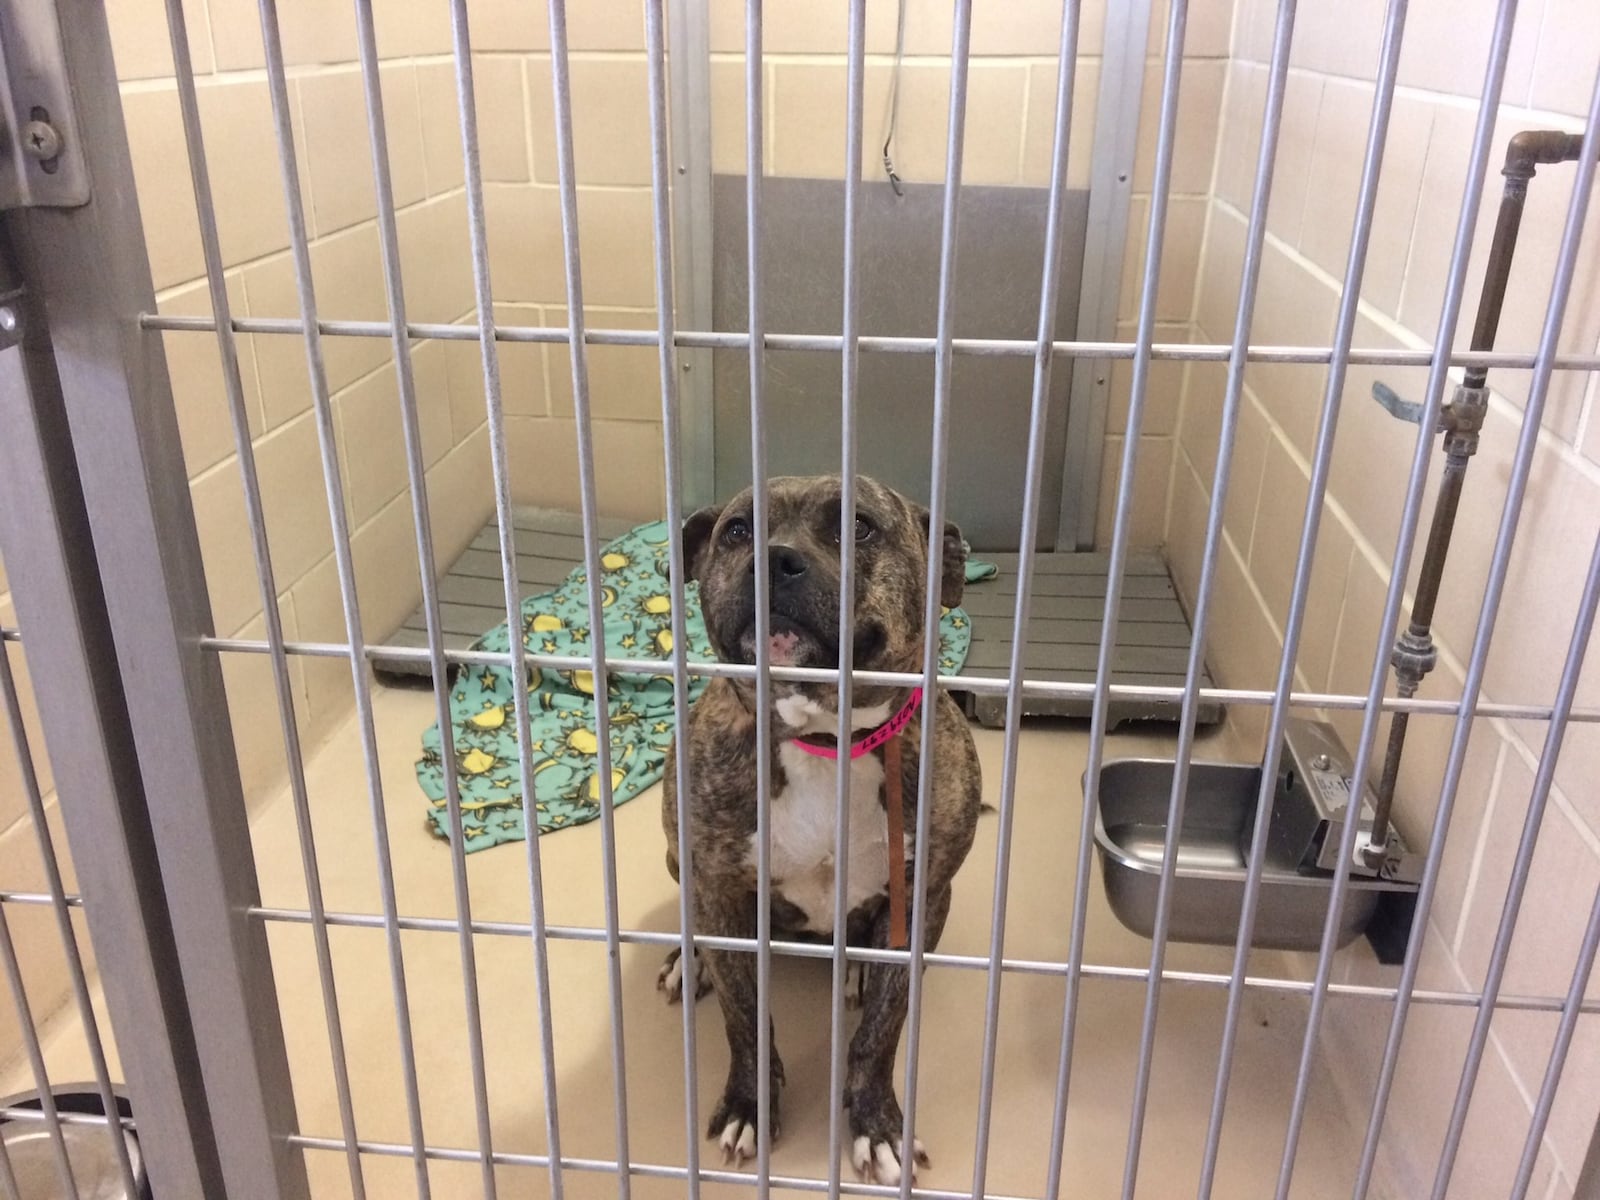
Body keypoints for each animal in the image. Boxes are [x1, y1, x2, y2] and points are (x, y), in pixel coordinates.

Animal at [656, 473, 979, 1190]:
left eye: (858, 526)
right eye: (737, 531)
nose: (773, 559)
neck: (824, 740)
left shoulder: (925, 897)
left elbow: (882, 1029)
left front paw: (876, 1124)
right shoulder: (722, 890)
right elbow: (746, 1020)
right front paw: (750, 1105)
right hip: (677, 858)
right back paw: (690, 959)